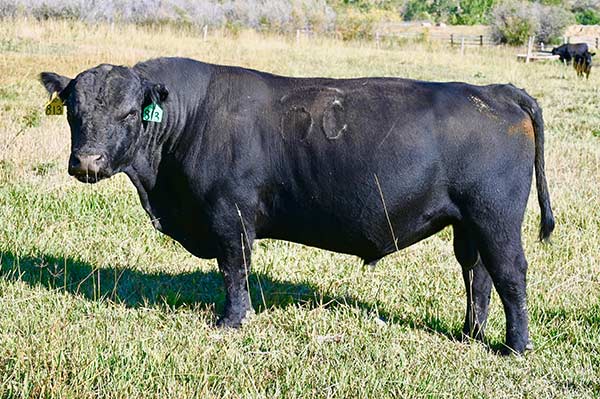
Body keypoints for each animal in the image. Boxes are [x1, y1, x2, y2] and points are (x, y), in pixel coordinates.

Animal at [39, 56, 552, 354]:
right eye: (73, 111)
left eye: (129, 113)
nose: (86, 162)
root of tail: (495, 91)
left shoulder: (229, 215)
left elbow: (234, 268)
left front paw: (232, 320)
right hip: (469, 224)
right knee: (477, 273)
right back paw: (470, 333)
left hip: (496, 217)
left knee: (510, 274)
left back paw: (515, 347)